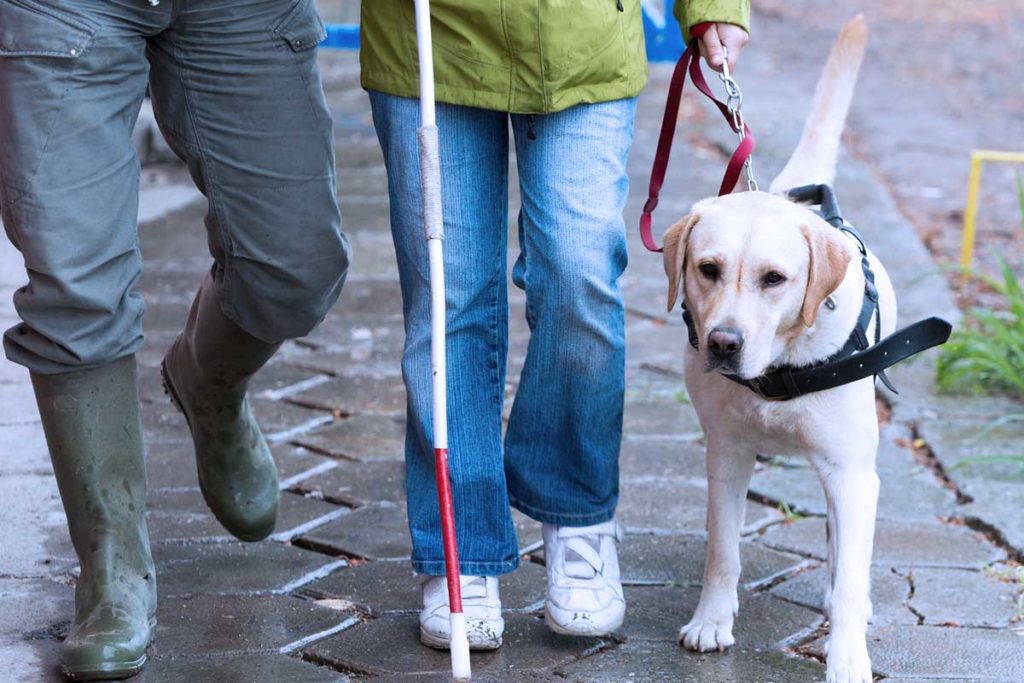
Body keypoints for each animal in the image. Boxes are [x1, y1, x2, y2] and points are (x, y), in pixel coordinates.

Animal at [663, 15, 897, 683]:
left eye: (775, 279)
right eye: (707, 269)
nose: (724, 343)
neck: (779, 369)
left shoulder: (851, 472)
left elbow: (850, 573)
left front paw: (847, 655)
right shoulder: (726, 455)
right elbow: (722, 550)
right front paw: (712, 621)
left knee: (844, 551)